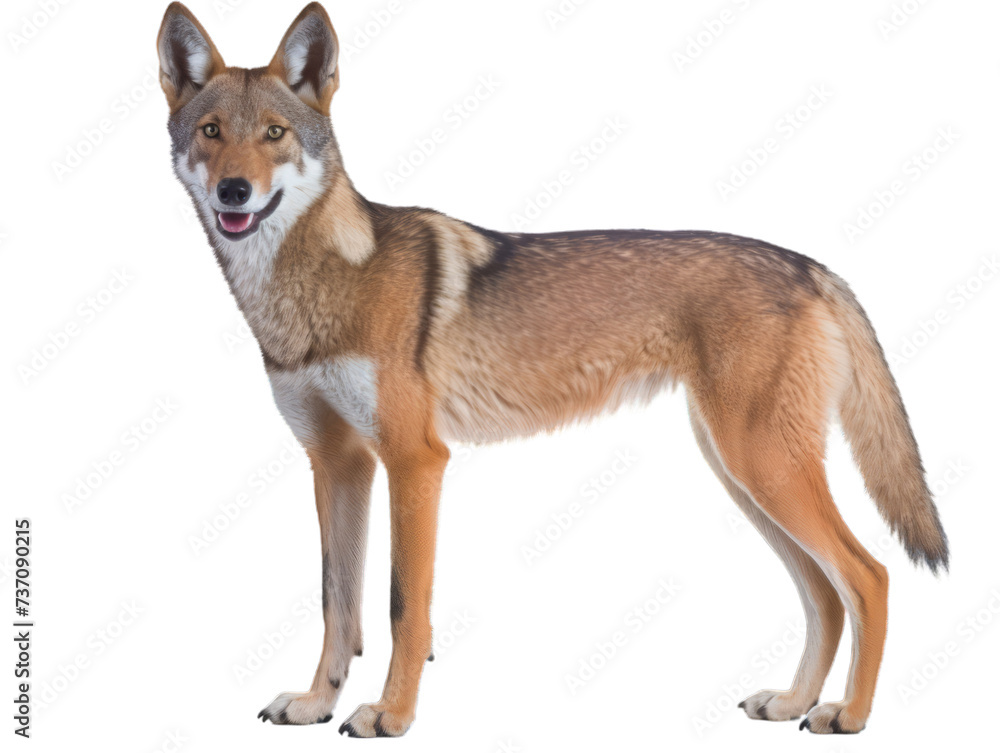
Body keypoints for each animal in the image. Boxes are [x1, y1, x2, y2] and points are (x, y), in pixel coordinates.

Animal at [157, 2, 948, 737]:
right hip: (745, 477)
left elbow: (401, 607)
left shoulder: (416, 461)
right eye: (212, 132)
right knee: (824, 593)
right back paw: (792, 702)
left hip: (764, 469)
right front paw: (317, 703)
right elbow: (337, 605)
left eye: (274, 134)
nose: (234, 192)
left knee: (869, 577)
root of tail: (812, 265)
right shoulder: (337, 463)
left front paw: (391, 714)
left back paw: (848, 714)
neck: (319, 288)